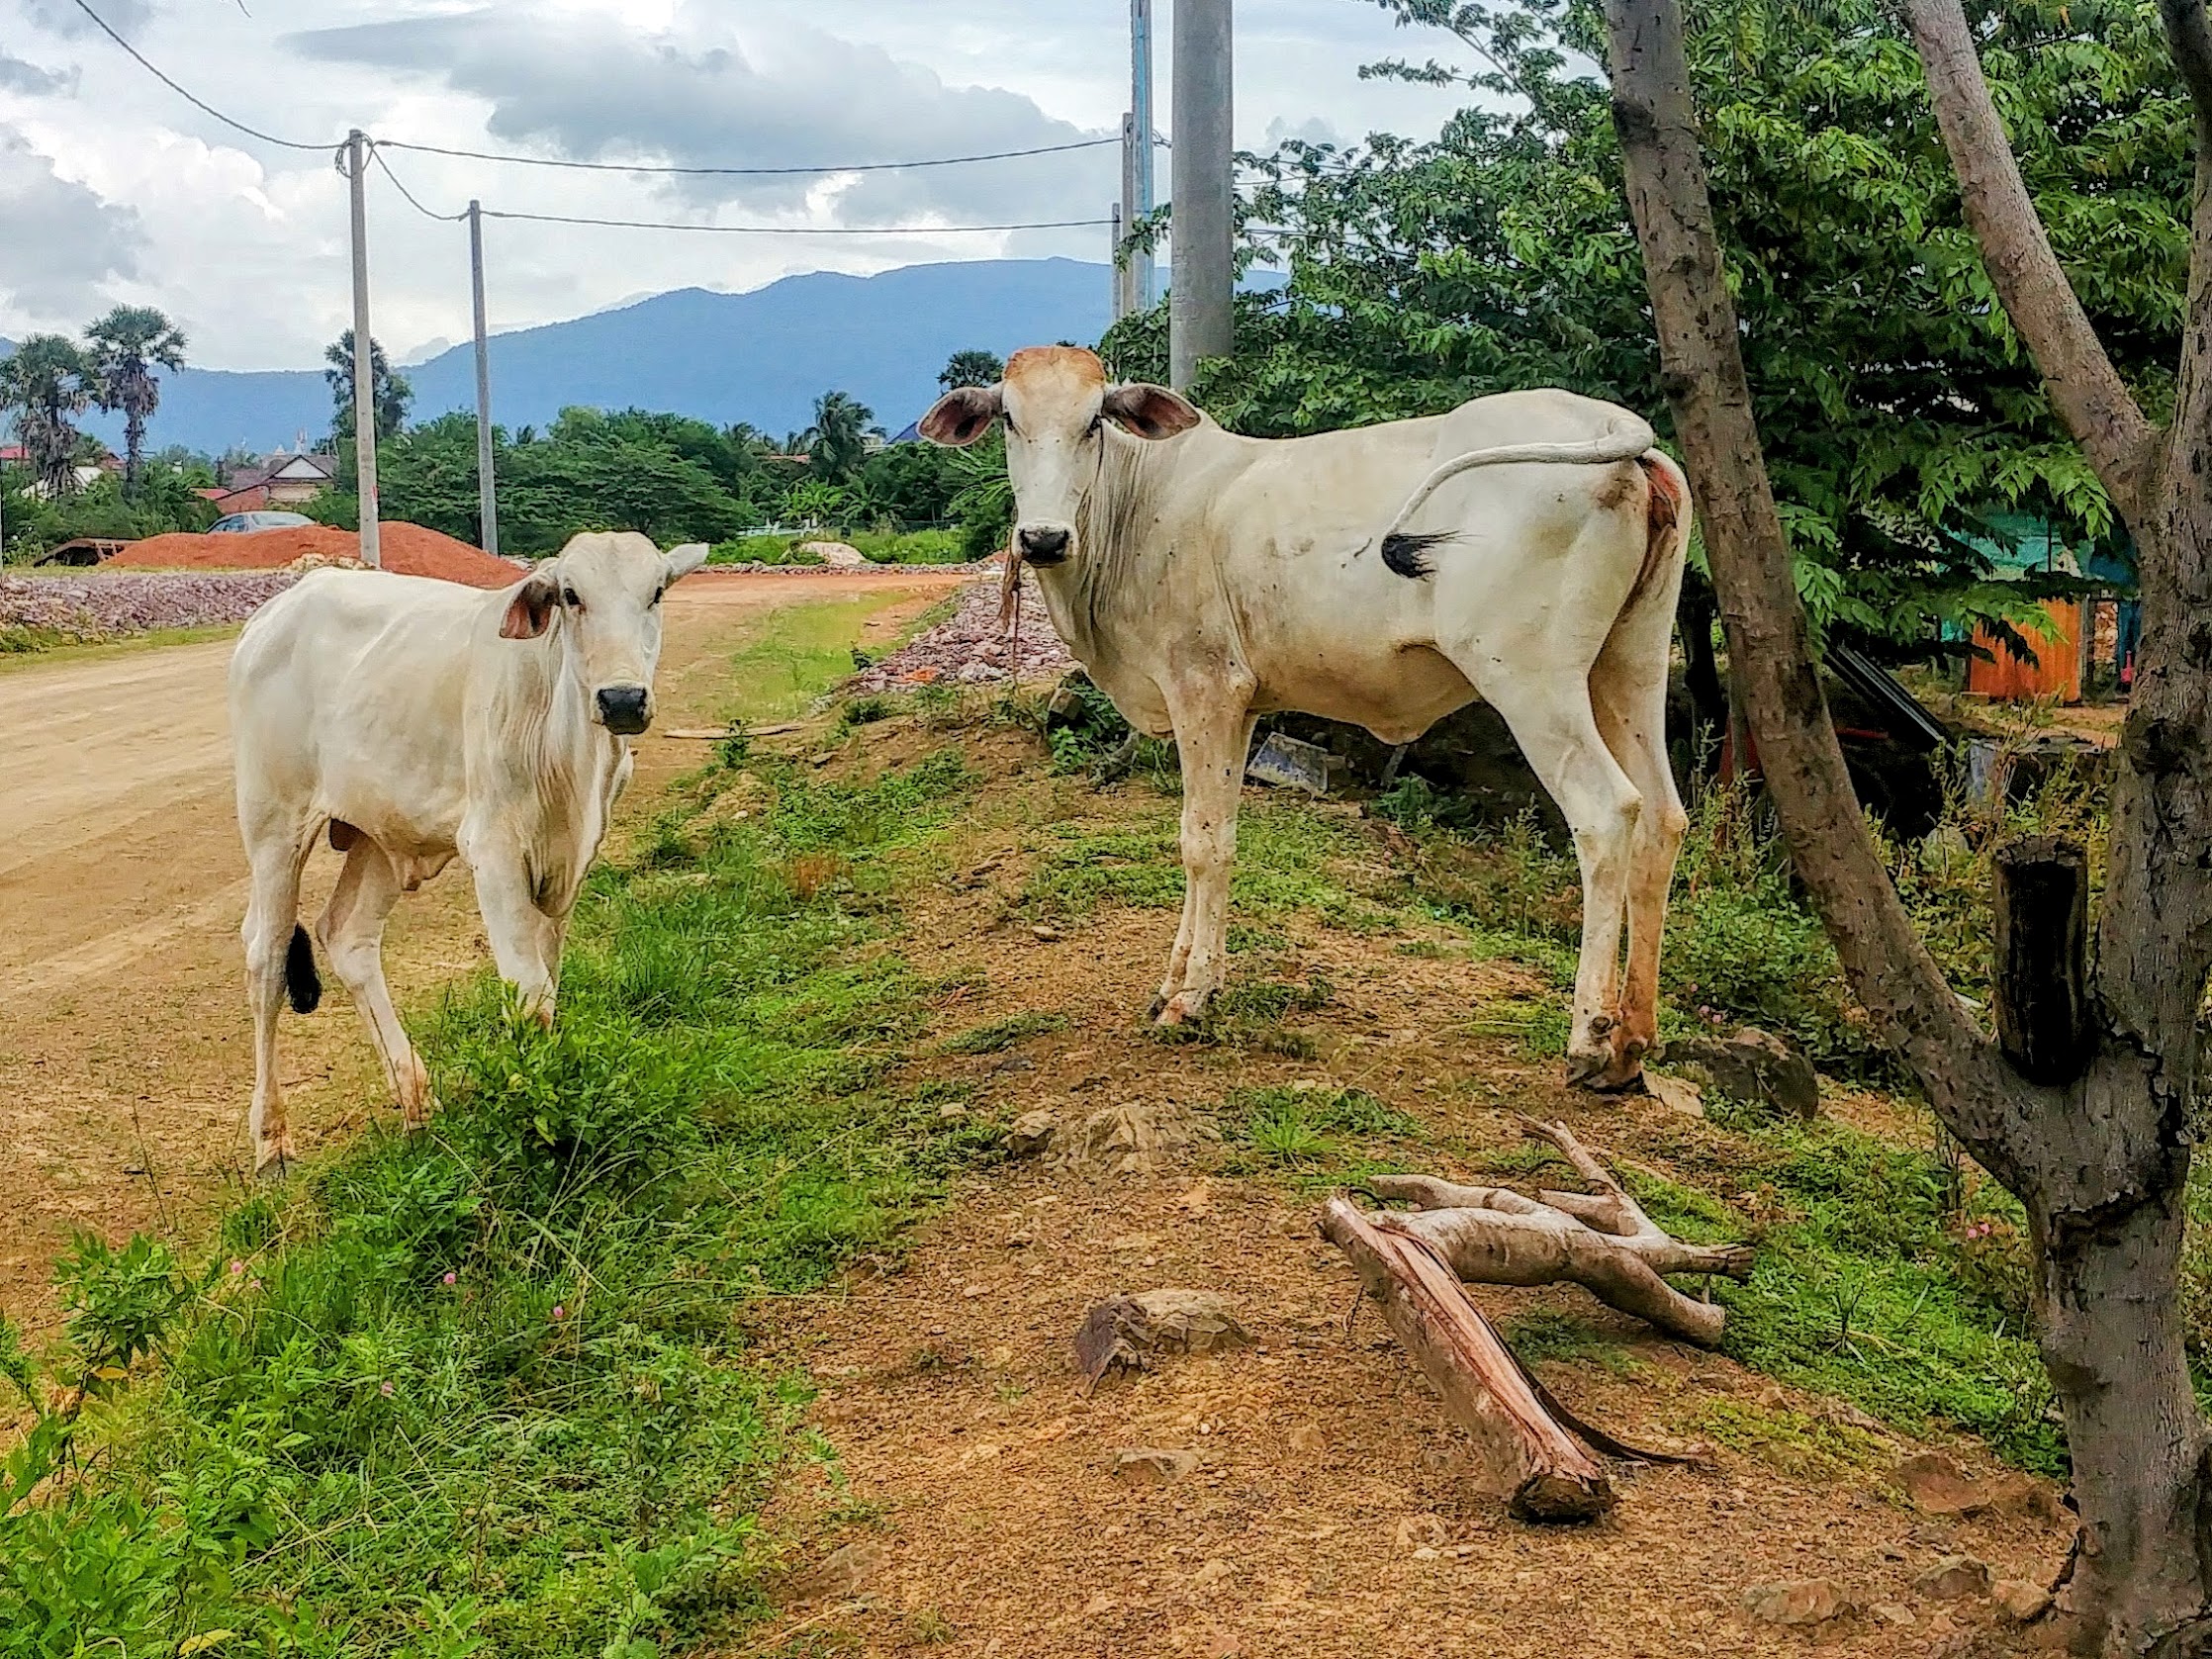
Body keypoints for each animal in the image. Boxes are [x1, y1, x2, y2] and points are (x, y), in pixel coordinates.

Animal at [227, 530, 709, 1177]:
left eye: (656, 591)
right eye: (570, 595)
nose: (623, 699)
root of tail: (276, 610)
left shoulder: (570, 863)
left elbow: (549, 983)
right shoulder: (495, 849)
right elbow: (529, 994)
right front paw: (535, 1119)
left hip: (380, 832)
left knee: (348, 935)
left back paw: (417, 1105)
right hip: (274, 823)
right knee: (268, 956)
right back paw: (272, 1141)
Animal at [921, 346, 1691, 1092]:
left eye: (1092, 424)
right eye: (1010, 419)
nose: (1042, 539)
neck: (1138, 506)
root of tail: (1611, 429)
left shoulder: (1204, 687)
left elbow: (1201, 842)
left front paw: (1191, 998)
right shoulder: (1240, 707)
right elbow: (1219, 835)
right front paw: (1180, 981)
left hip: (1532, 681)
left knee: (1607, 813)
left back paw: (1588, 1038)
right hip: (1630, 664)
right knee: (1662, 817)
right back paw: (1630, 1042)